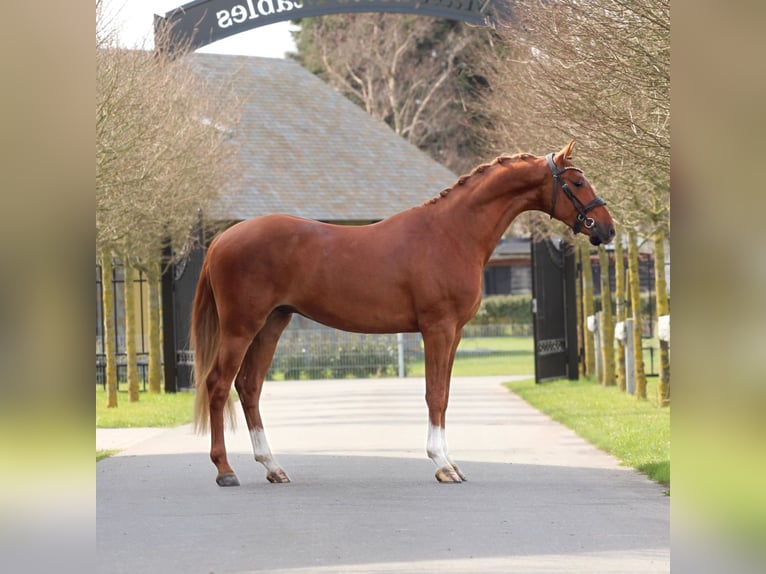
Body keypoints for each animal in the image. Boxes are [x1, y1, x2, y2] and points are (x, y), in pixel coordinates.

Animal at [191, 140, 615, 486]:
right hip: (241, 328)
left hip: (272, 323)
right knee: (218, 384)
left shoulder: (454, 332)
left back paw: (273, 467)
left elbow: (444, 393)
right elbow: (435, 394)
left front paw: (450, 463)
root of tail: (222, 239)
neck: (452, 233)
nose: (607, 230)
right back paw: (225, 470)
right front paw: (442, 465)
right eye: (577, 182)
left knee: (249, 386)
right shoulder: (438, 328)